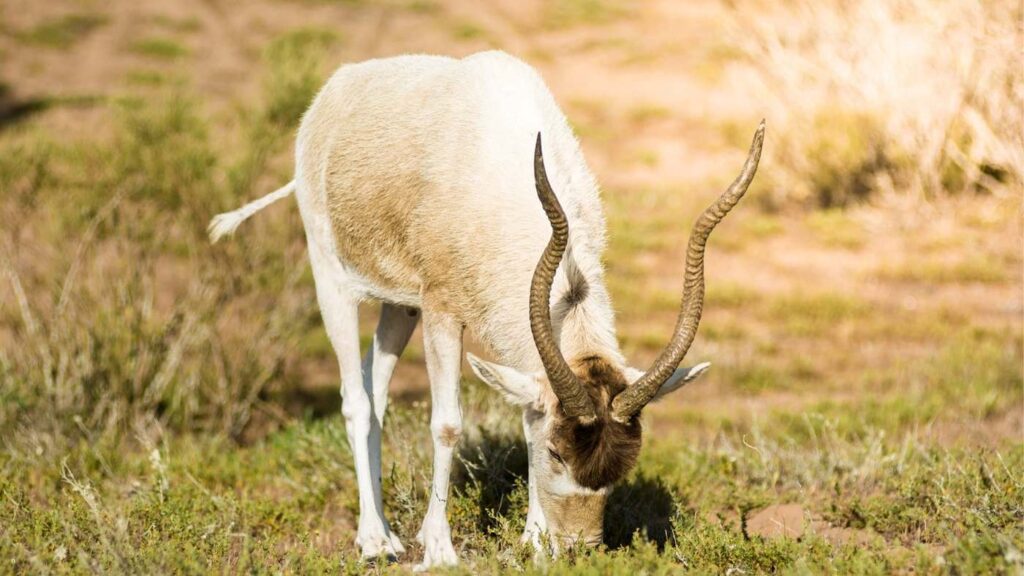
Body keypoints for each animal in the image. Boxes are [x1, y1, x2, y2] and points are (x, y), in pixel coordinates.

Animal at [209, 50, 763, 569]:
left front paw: (534, 542)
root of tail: (334, 91)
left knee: (376, 390)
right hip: (334, 281)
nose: (580, 550)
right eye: (558, 453)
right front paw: (439, 549)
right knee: (355, 399)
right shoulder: (441, 309)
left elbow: (523, 416)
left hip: (399, 308)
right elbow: (447, 424)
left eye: (621, 466)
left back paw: (387, 533)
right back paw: (373, 542)